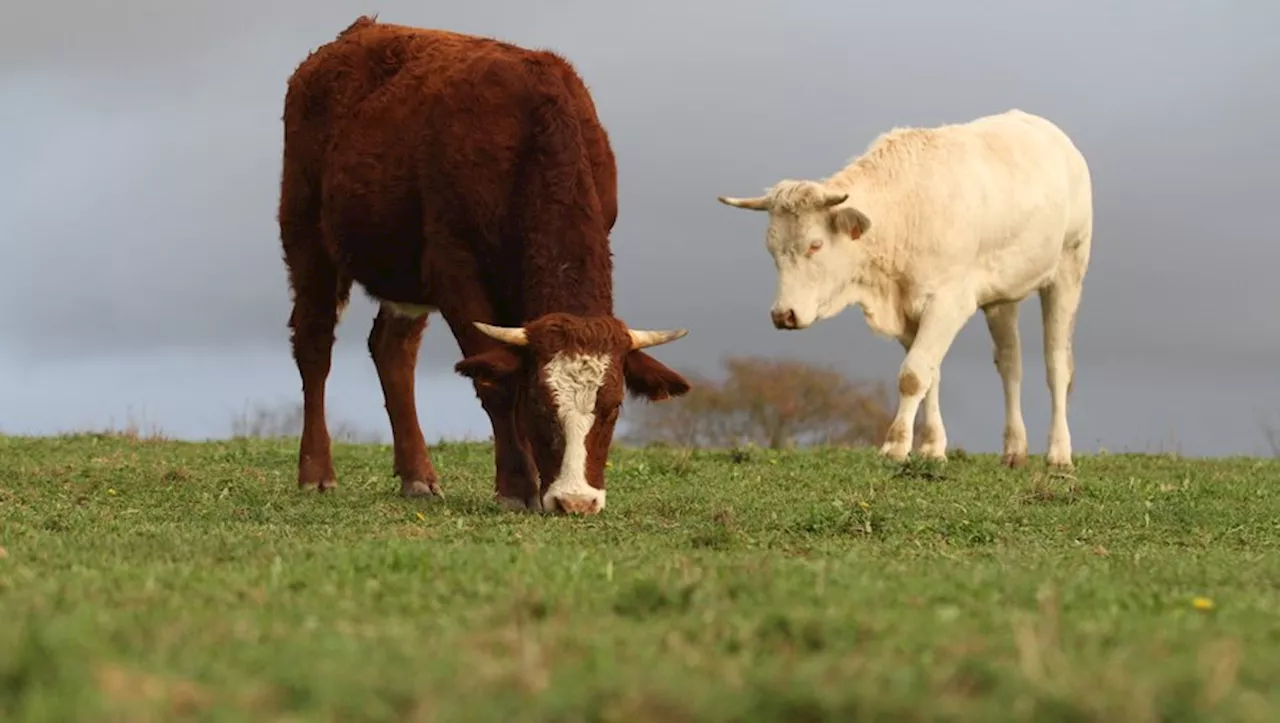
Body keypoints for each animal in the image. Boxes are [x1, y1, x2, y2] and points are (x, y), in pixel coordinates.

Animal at [279, 16, 691, 511]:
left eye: (611, 408)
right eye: (541, 404)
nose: (575, 501)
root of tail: (356, 32)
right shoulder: (454, 269)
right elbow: (497, 379)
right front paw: (517, 486)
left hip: (404, 277)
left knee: (392, 351)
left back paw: (418, 476)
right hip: (306, 235)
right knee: (314, 344)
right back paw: (316, 472)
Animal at [716, 106, 1095, 468]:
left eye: (815, 245)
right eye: (771, 248)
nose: (784, 314)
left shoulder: (948, 302)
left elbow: (913, 374)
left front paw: (896, 446)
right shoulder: (908, 310)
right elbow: (930, 374)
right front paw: (931, 448)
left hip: (1068, 269)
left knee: (1057, 365)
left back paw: (1059, 454)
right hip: (1002, 297)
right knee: (1010, 364)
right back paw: (1014, 449)